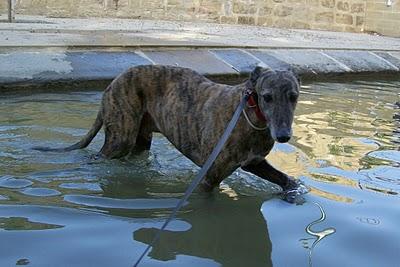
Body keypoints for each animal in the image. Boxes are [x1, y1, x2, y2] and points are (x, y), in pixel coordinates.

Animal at [35, 65, 300, 195]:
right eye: (267, 97)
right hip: (121, 137)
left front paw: (293, 193)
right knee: (98, 156)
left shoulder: (253, 162)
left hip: (140, 140)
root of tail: (113, 82)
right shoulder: (209, 178)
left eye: (293, 96)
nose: (283, 136)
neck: (249, 114)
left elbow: (286, 180)